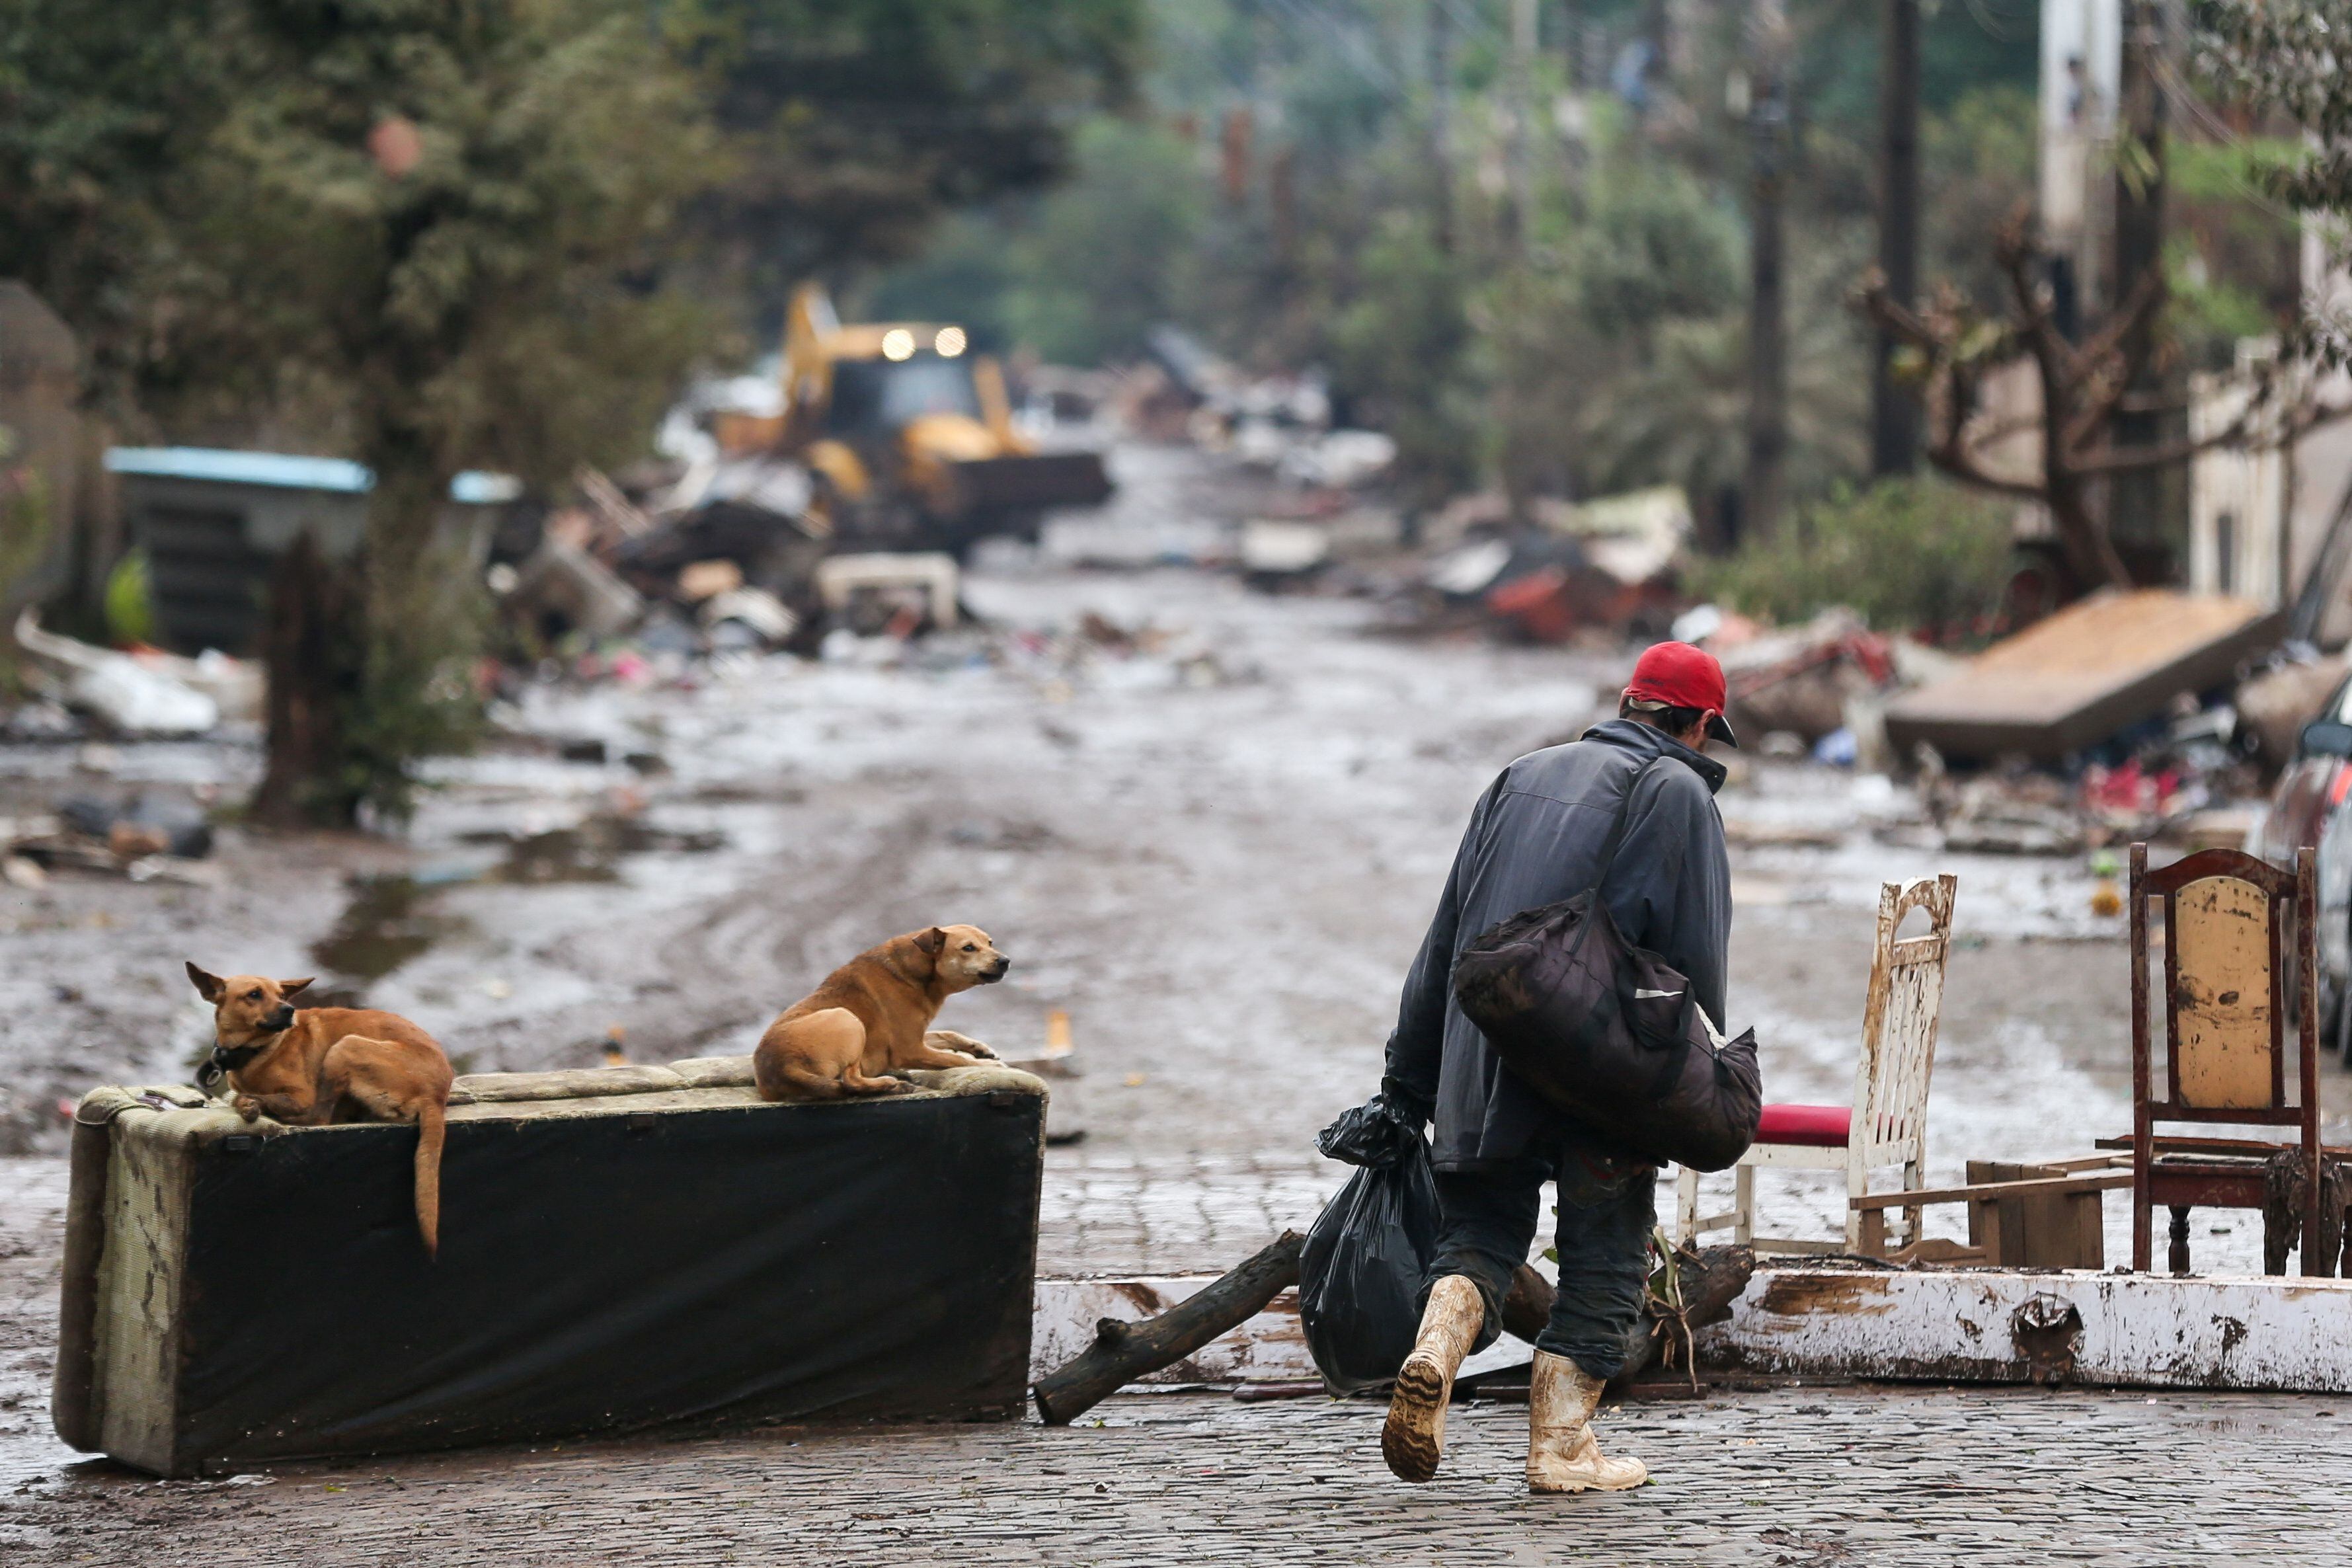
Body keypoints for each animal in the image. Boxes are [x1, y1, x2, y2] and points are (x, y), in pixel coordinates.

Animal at [752, 921, 1011, 1105]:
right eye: (969, 948)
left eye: (990, 943)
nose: (1006, 961)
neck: (918, 971)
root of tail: (785, 1067)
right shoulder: (910, 1049)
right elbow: (955, 1060)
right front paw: (991, 1067)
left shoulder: (917, 1037)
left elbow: (947, 1034)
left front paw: (980, 1048)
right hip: (847, 1018)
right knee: (850, 1081)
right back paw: (891, 1084)